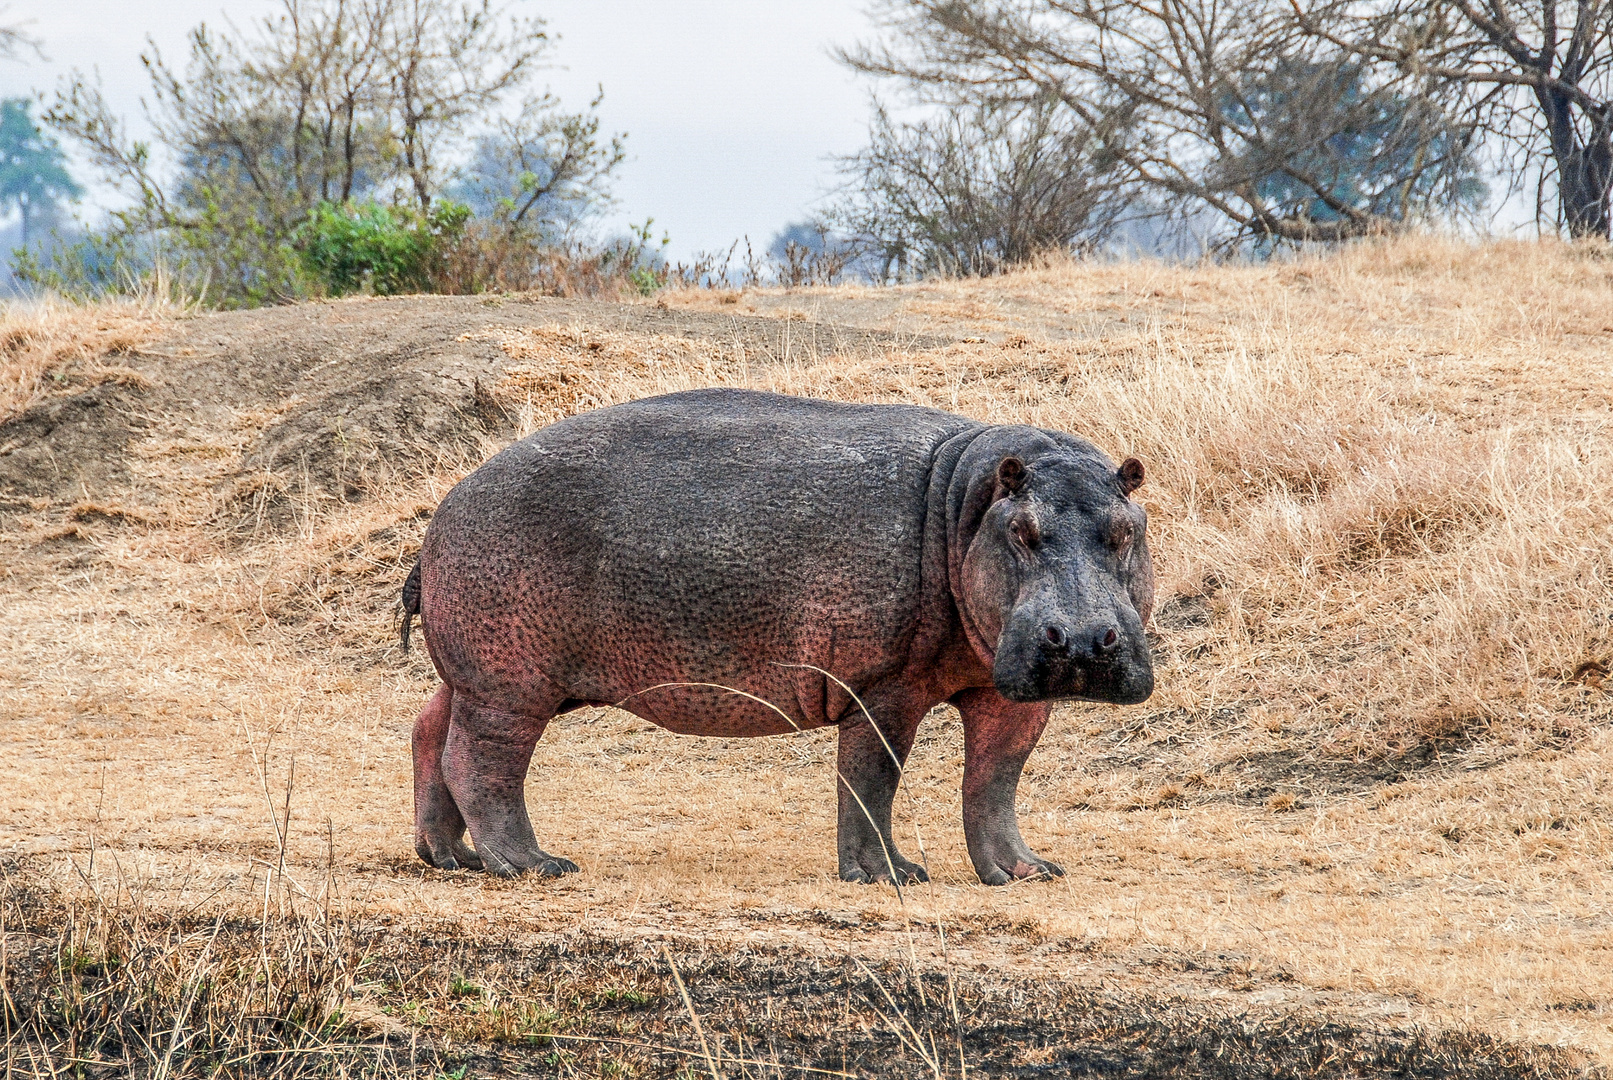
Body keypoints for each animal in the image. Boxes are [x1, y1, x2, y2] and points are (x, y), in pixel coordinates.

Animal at [406, 390, 1161, 889]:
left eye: (1127, 528)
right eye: (1022, 532)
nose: (1084, 640)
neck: (967, 507)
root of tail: (447, 505)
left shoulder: (1009, 690)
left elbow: (996, 778)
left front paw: (1027, 872)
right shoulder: (883, 687)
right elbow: (872, 777)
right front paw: (890, 876)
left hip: (474, 676)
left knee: (430, 730)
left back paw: (450, 858)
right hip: (510, 685)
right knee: (482, 764)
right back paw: (535, 866)